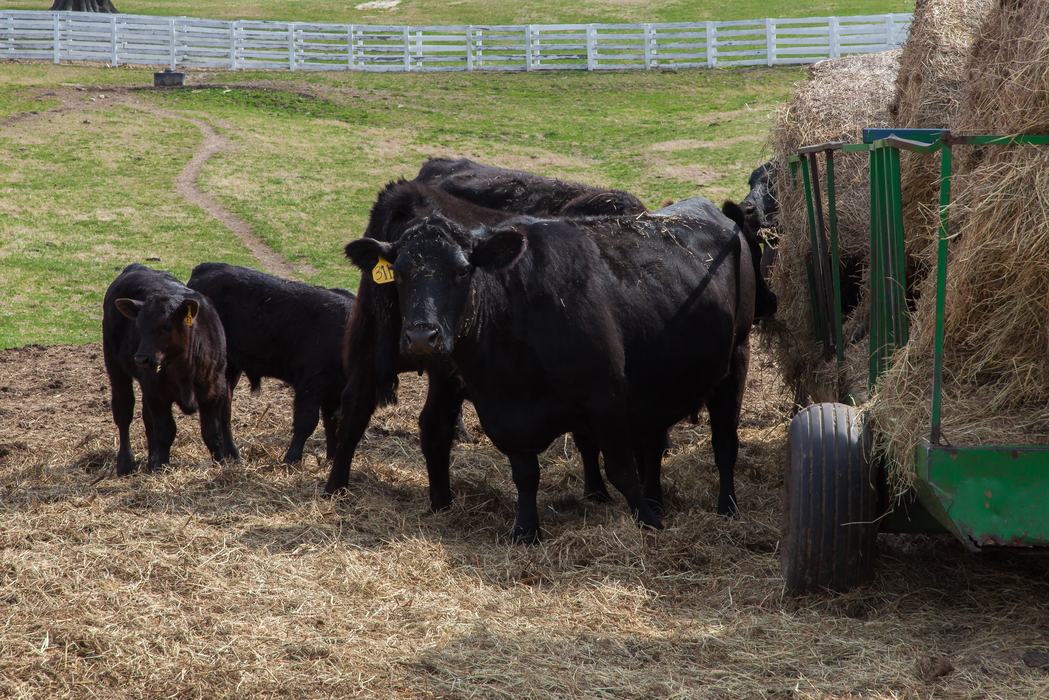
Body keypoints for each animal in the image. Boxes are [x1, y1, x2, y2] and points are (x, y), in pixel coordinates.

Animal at [102, 263, 238, 474]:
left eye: (165, 327)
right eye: (138, 326)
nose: (141, 358)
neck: (185, 367)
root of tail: (136, 266)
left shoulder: (214, 390)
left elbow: (211, 432)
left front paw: (220, 461)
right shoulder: (158, 394)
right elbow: (166, 430)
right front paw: (163, 466)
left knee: (147, 419)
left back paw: (151, 460)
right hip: (115, 367)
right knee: (123, 411)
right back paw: (126, 463)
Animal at [187, 263, 355, 464]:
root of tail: (205, 268)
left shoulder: (334, 391)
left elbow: (332, 423)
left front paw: (332, 458)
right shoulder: (311, 383)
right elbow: (307, 422)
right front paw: (291, 459)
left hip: (231, 368)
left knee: (224, 404)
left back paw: (233, 454)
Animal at [325, 179, 613, 507]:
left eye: (463, 270)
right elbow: (587, 436)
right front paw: (597, 491)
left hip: (368, 347)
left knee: (354, 410)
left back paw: (335, 488)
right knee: (431, 424)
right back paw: (442, 501)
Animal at [343, 197, 756, 542]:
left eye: (462, 271)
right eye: (400, 273)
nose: (420, 336)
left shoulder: (606, 398)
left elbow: (621, 469)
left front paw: (649, 523)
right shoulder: (502, 412)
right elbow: (526, 475)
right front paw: (526, 530)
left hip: (736, 356)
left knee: (724, 442)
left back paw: (726, 507)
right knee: (654, 446)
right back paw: (659, 498)